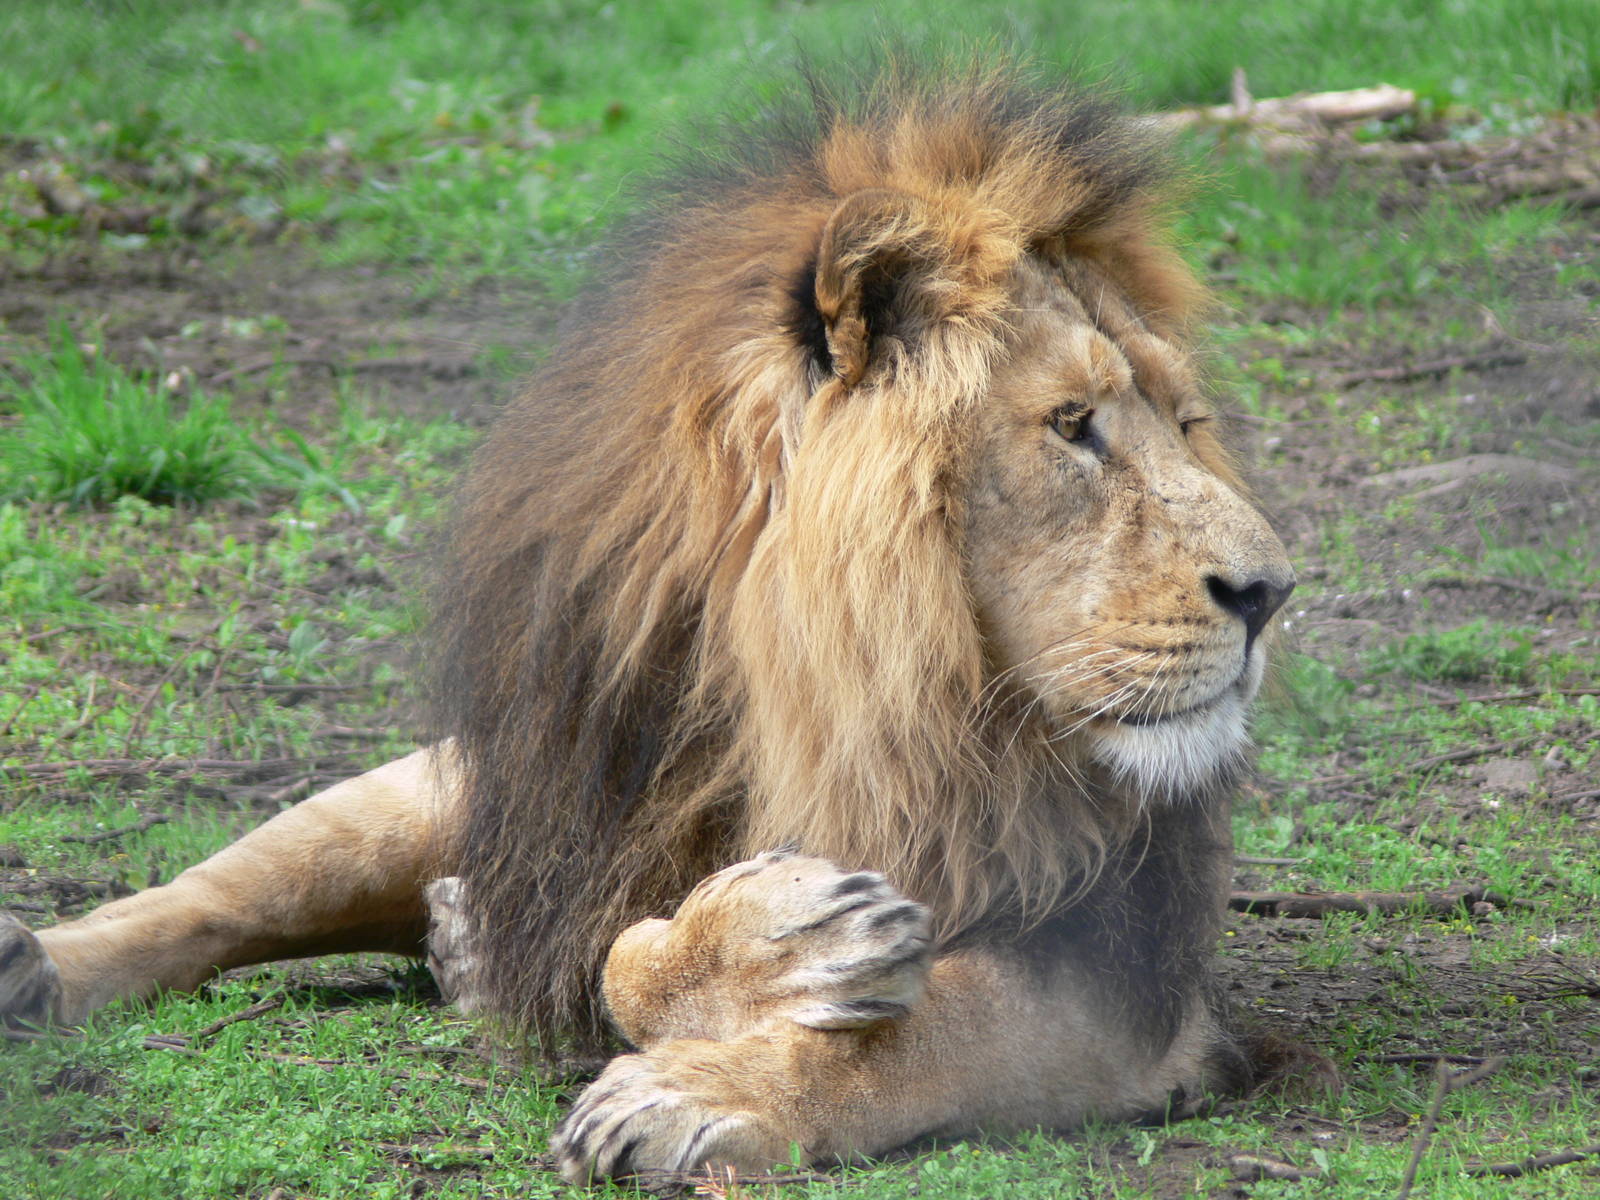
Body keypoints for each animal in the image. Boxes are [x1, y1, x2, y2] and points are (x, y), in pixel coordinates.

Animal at [0, 64, 1294, 1183]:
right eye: (1071, 426)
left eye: (1186, 424)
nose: (1271, 591)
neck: (834, 691)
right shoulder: (585, 828)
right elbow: (622, 953)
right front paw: (790, 941)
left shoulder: (1116, 963)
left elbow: (932, 1030)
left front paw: (703, 1082)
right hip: (433, 792)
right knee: (229, 889)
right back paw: (36, 966)